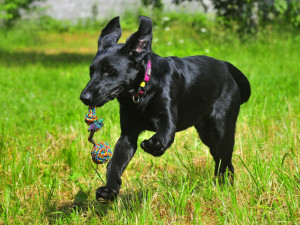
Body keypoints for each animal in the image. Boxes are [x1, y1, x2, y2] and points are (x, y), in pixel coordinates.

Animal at [79, 15, 251, 202]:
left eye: (110, 71)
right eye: (91, 72)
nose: (84, 97)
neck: (141, 93)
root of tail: (225, 66)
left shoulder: (167, 120)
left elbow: (164, 136)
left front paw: (153, 145)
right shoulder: (127, 135)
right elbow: (115, 163)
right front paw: (109, 190)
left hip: (222, 129)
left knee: (226, 159)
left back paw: (227, 187)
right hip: (206, 132)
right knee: (219, 158)